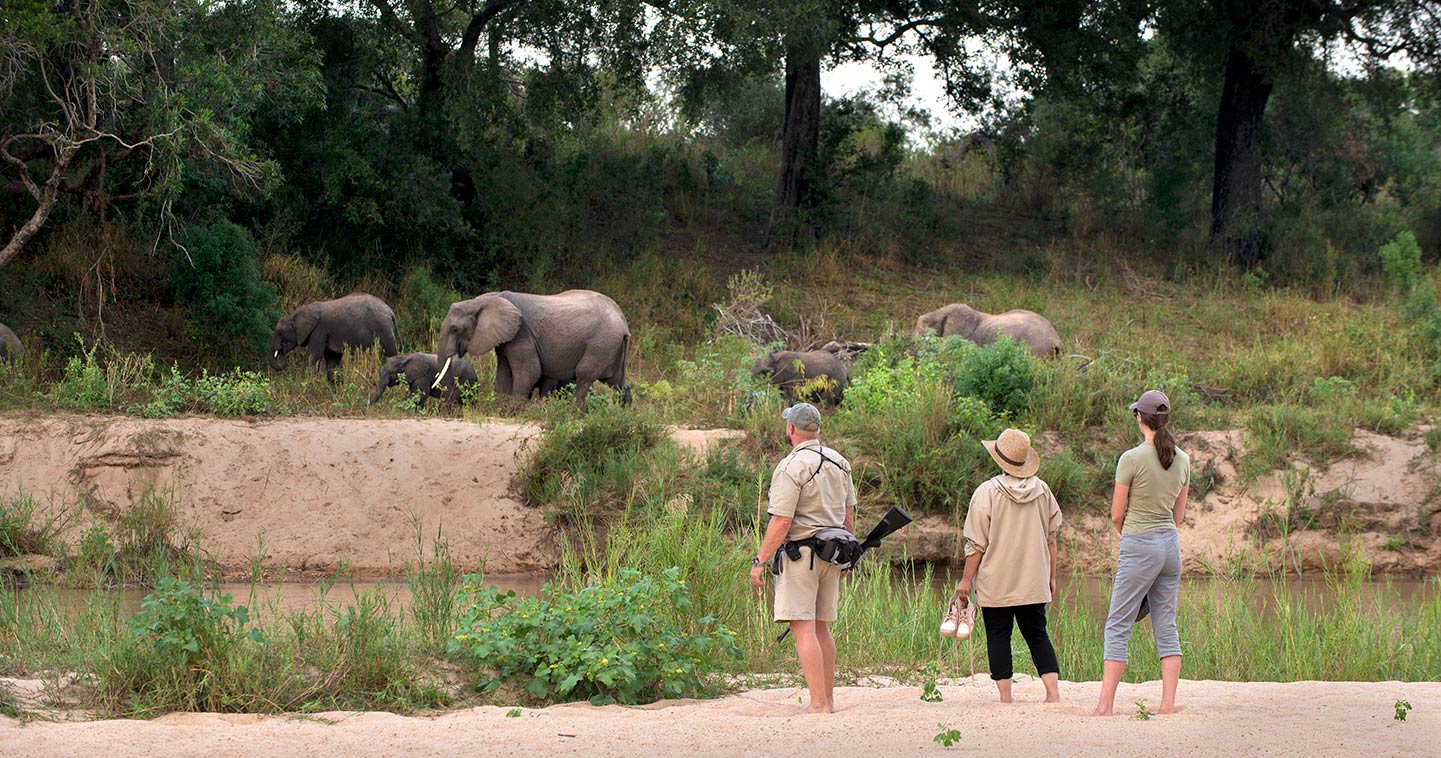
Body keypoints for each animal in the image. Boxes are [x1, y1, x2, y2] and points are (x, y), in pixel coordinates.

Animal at [266, 293, 397, 383]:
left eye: (280, 333)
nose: (281, 350)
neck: (296, 314)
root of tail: (390, 311)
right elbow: (332, 359)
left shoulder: (319, 331)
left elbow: (313, 356)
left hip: (383, 329)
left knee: (390, 353)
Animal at [429, 291, 628, 409]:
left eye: (455, 329)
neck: (486, 299)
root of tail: (623, 321)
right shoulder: (505, 339)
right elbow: (503, 374)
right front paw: (500, 411)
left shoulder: (522, 334)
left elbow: (529, 372)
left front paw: (512, 412)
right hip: (611, 345)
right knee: (617, 382)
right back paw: (623, 413)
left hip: (601, 343)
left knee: (584, 376)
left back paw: (573, 414)